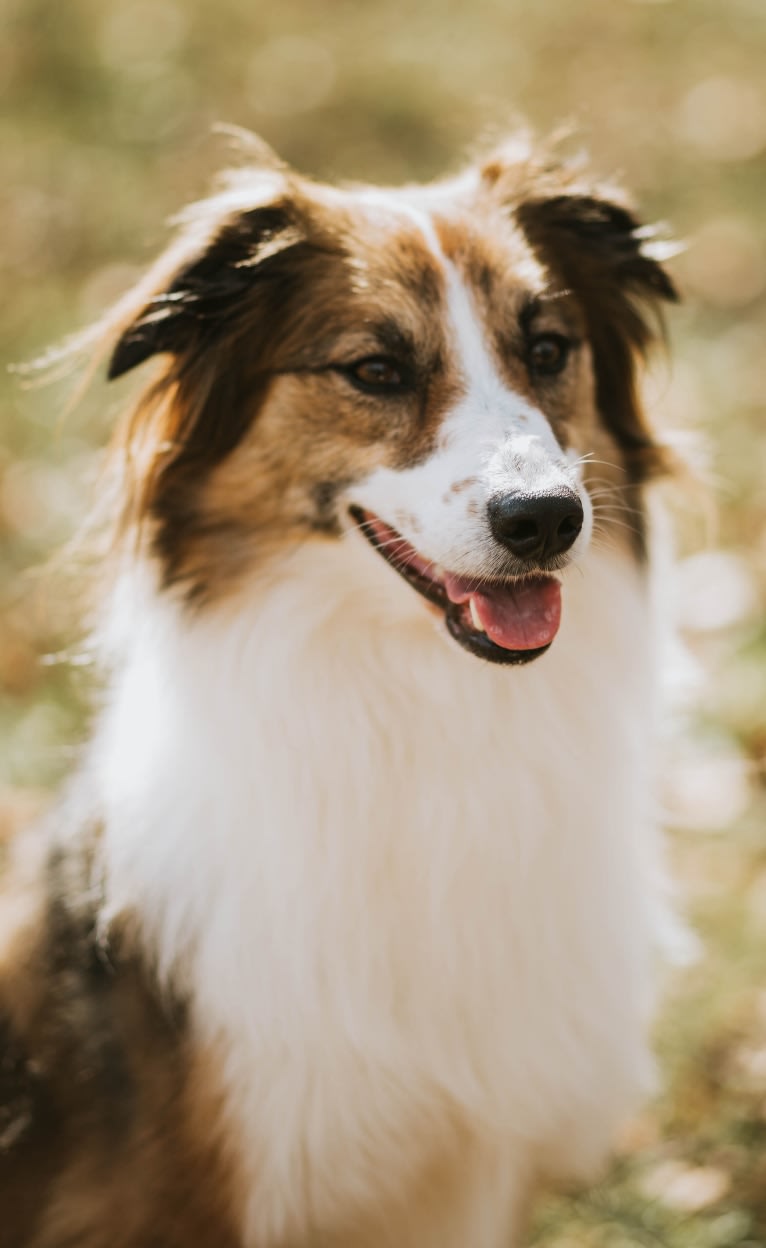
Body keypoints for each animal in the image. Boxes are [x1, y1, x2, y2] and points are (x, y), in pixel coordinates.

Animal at [3, 131, 683, 1243]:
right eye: (375, 370)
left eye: (547, 350)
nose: (544, 517)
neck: (423, 709)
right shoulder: (207, 1184)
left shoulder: (470, 1176)